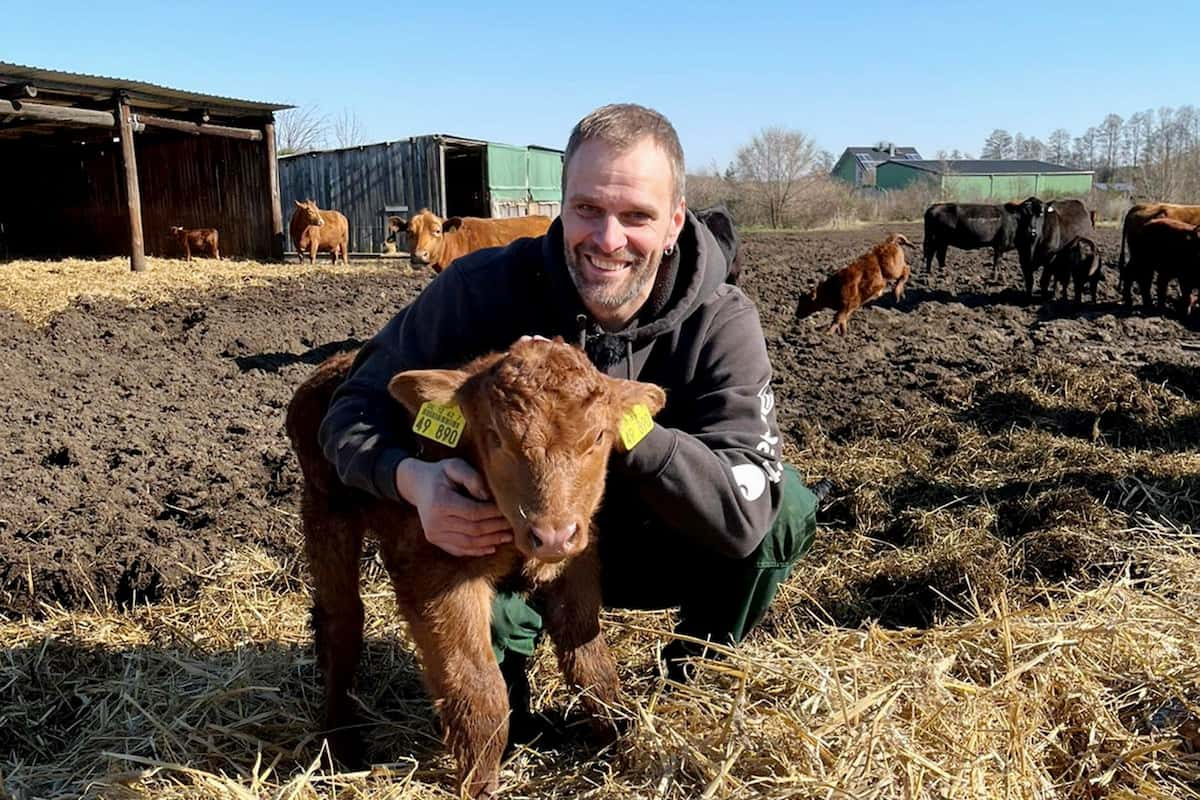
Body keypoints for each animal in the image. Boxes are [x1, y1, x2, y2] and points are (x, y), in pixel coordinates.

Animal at [286, 340, 672, 800]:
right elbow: (479, 689)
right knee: (341, 620)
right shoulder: (437, 573)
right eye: (496, 437)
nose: (552, 534)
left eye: (598, 437)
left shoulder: (575, 563)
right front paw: (480, 786)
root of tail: (332, 367)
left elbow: (592, 665)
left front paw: (619, 747)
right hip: (326, 508)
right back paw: (341, 742)